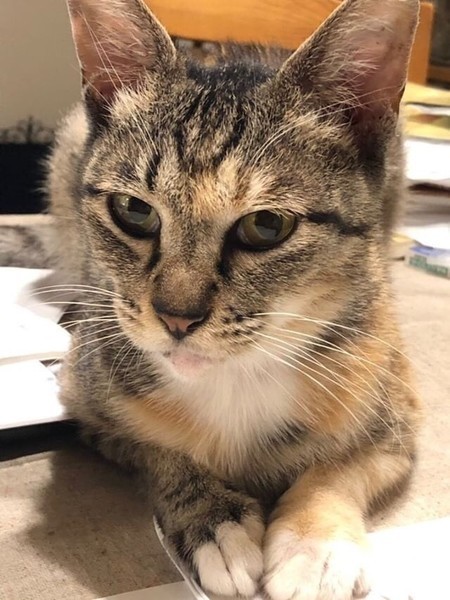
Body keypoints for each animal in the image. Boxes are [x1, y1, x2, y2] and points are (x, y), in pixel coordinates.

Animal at [42, 0, 422, 598]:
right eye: (134, 210)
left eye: (267, 226)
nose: (177, 317)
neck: (236, 379)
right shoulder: (87, 406)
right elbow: (160, 451)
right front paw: (214, 522)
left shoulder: (396, 409)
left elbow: (342, 466)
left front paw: (315, 545)